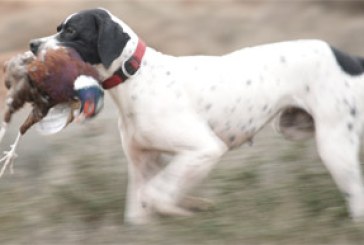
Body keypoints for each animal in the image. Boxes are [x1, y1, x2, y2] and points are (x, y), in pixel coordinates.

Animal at [29, 8, 364, 225]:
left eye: (72, 31)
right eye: (59, 27)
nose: (32, 44)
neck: (137, 78)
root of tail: (347, 57)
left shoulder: (204, 149)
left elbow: (158, 194)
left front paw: (189, 208)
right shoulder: (142, 162)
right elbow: (141, 208)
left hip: (334, 148)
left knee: (357, 201)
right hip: (295, 128)